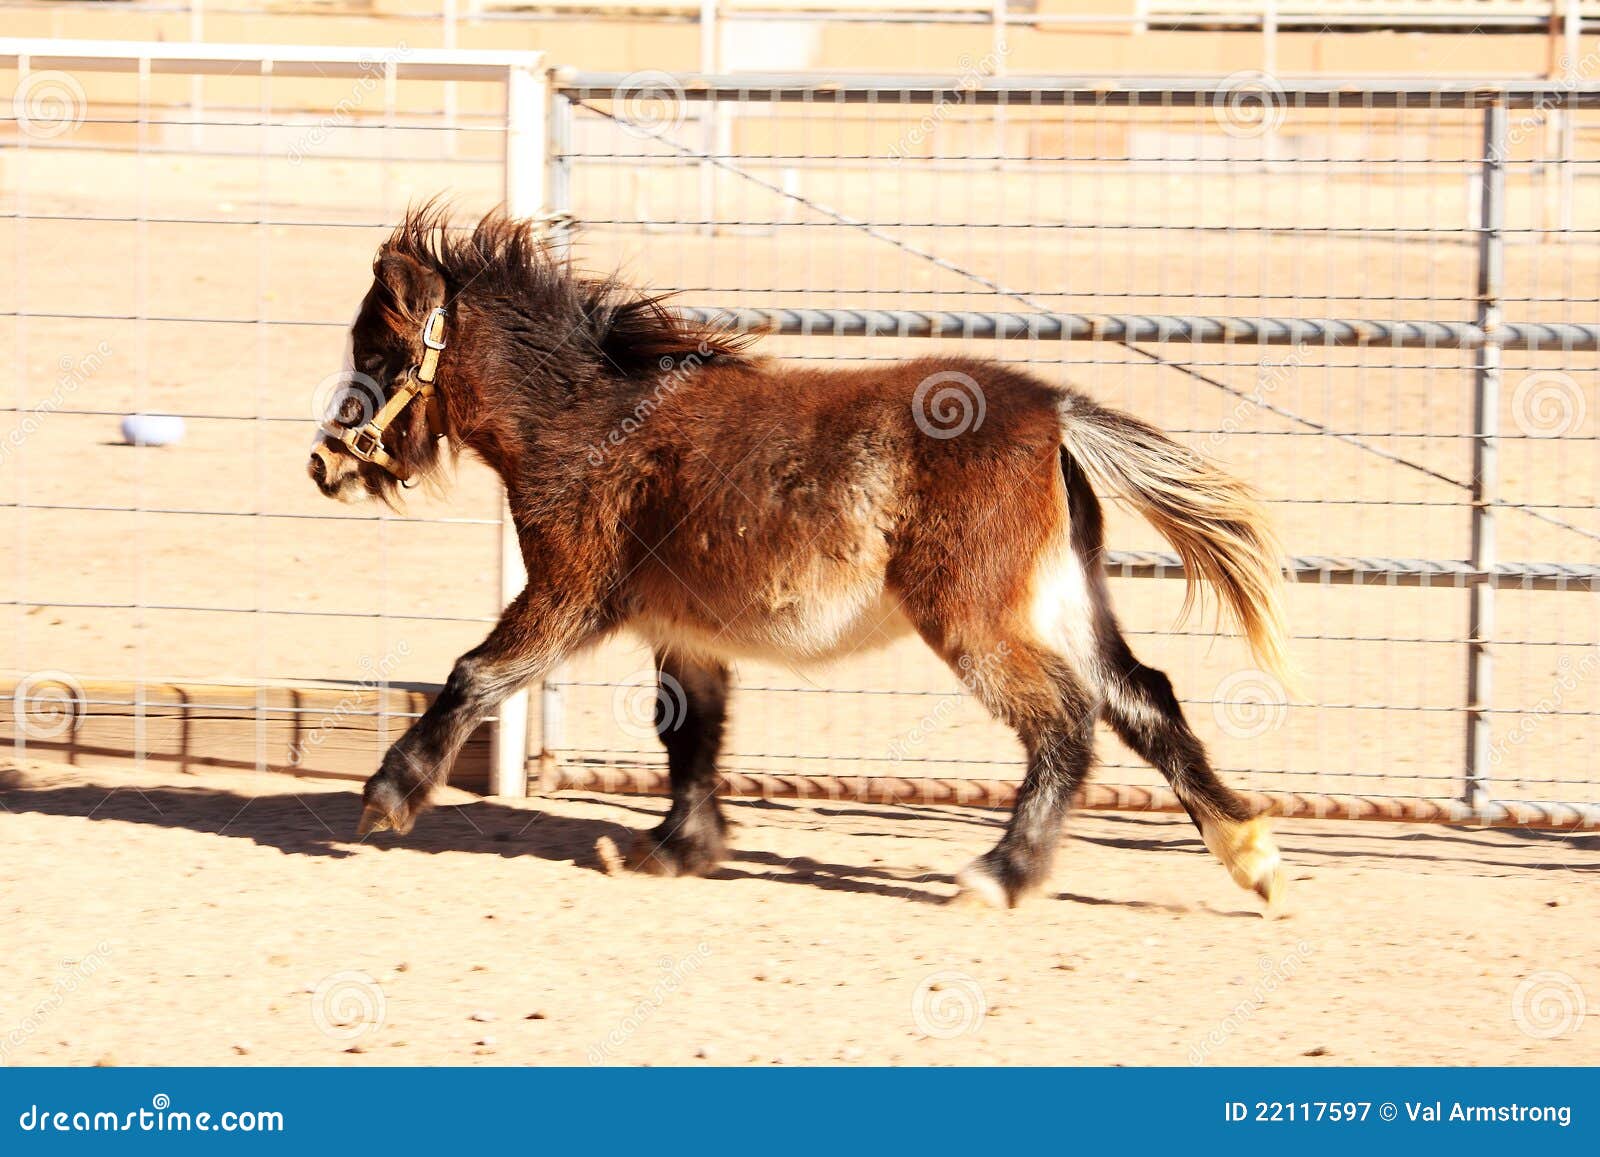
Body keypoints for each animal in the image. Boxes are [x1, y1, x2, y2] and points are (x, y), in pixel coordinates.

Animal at [307, 204, 1293, 909]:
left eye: (380, 350)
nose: (323, 463)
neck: (590, 421)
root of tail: (1054, 412)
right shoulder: (683, 632)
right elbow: (687, 731)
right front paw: (674, 847)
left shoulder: (568, 596)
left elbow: (475, 673)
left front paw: (389, 794)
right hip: (1062, 600)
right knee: (1145, 700)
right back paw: (1251, 856)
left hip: (975, 620)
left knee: (1067, 722)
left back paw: (999, 873)